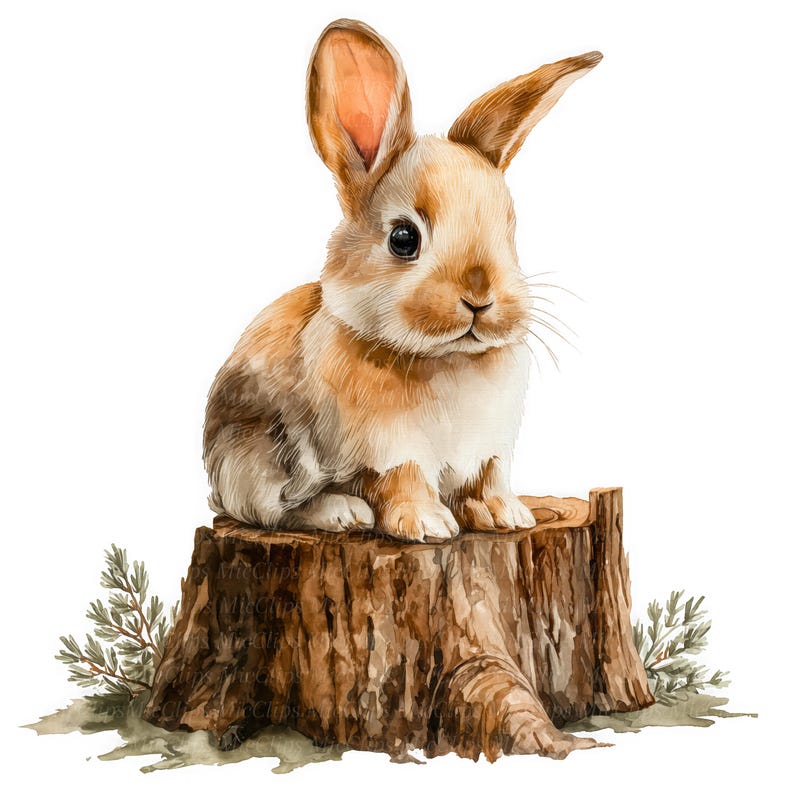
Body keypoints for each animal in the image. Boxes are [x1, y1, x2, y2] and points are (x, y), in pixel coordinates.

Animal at [203, 19, 601, 542]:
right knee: (272, 509)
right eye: (404, 238)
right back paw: (343, 513)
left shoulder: (490, 451)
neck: (447, 359)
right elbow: (402, 479)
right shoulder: (387, 450)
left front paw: (507, 515)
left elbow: (488, 479)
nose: (479, 297)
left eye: (510, 230)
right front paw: (427, 524)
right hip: (263, 463)